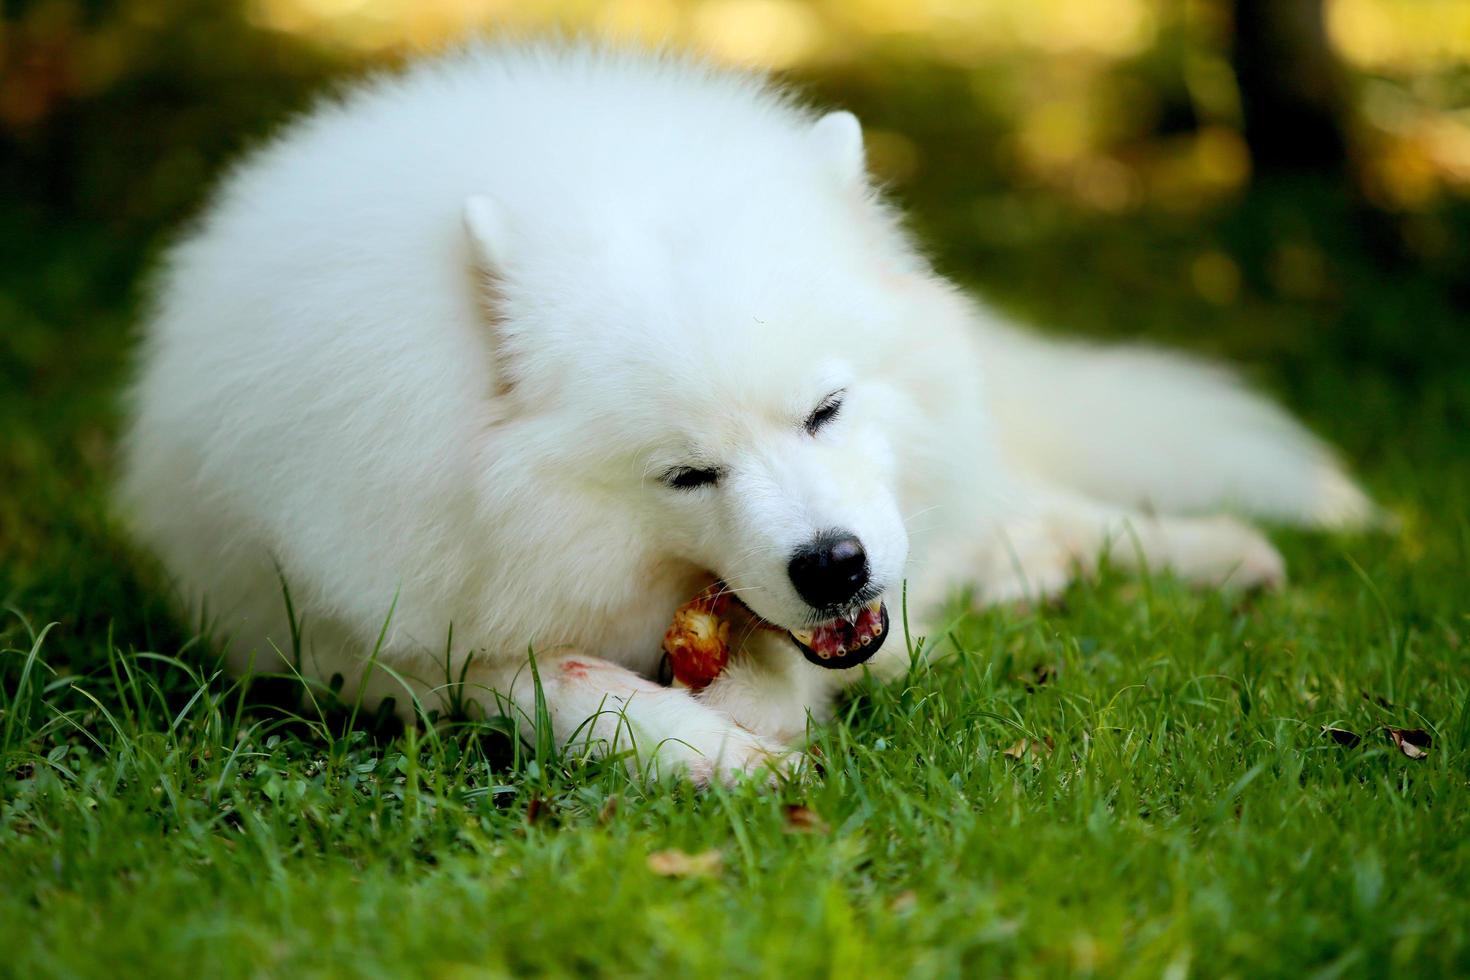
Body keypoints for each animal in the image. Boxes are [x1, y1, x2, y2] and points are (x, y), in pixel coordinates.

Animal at [120, 42, 1370, 787]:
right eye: (685, 473)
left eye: (824, 409)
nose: (832, 563)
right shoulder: (382, 643)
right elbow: (564, 691)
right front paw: (736, 756)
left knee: (1043, 507)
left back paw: (1224, 548)